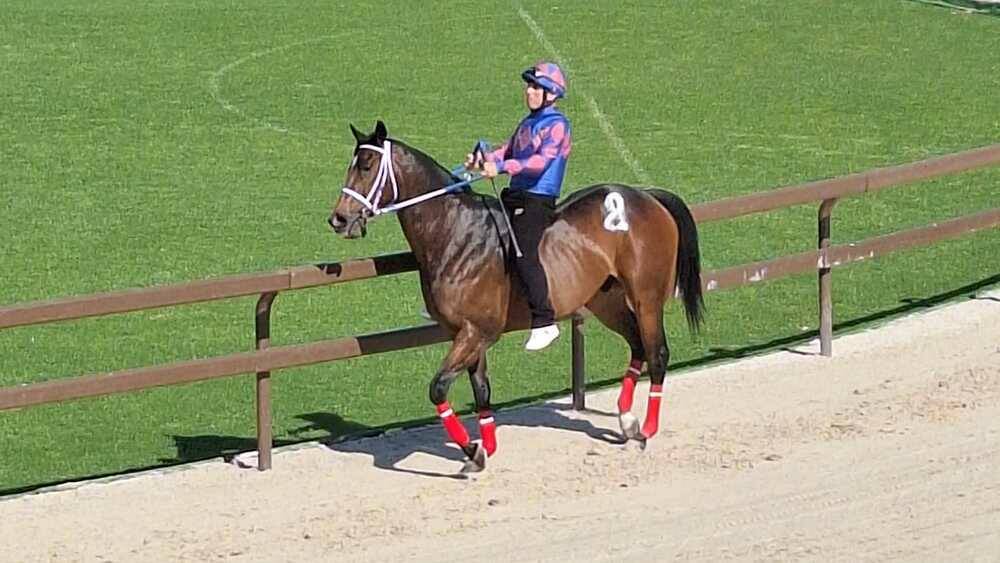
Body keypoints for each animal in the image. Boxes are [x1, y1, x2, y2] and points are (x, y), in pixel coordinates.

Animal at [328, 122, 704, 472]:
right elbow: (481, 389)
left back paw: (648, 429)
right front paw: (485, 447)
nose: (339, 219)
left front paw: (472, 449)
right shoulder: (465, 334)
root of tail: (646, 196)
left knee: (657, 353)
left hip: (646, 298)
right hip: (606, 302)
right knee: (638, 347)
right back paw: (627, 421)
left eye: (366, 166)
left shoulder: (477, 332)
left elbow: (438, 388)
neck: (456, 233)